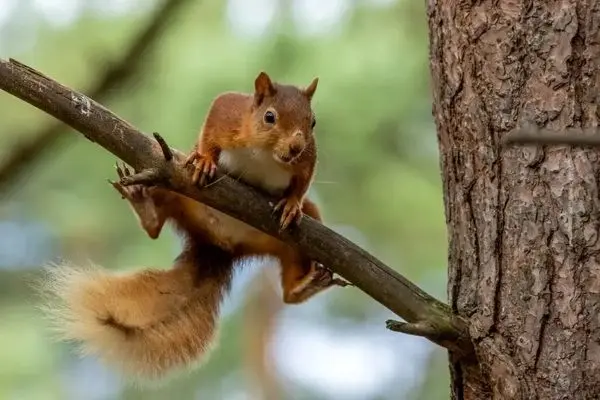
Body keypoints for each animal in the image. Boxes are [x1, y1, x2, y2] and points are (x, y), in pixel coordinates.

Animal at [39, 72, 350, 382]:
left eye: (312, 122)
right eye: (269, 117)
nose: (295, 147)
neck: (265, 154)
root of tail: (219, 245)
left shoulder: (307, 158)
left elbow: (303, 181)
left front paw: (292, 203)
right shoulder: (229, 114)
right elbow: (214, 120)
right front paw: (205, 160)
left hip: (293, 238)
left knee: (288, 290)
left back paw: (305, 285)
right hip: (169, 178)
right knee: (155, 223)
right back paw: (143, 203)